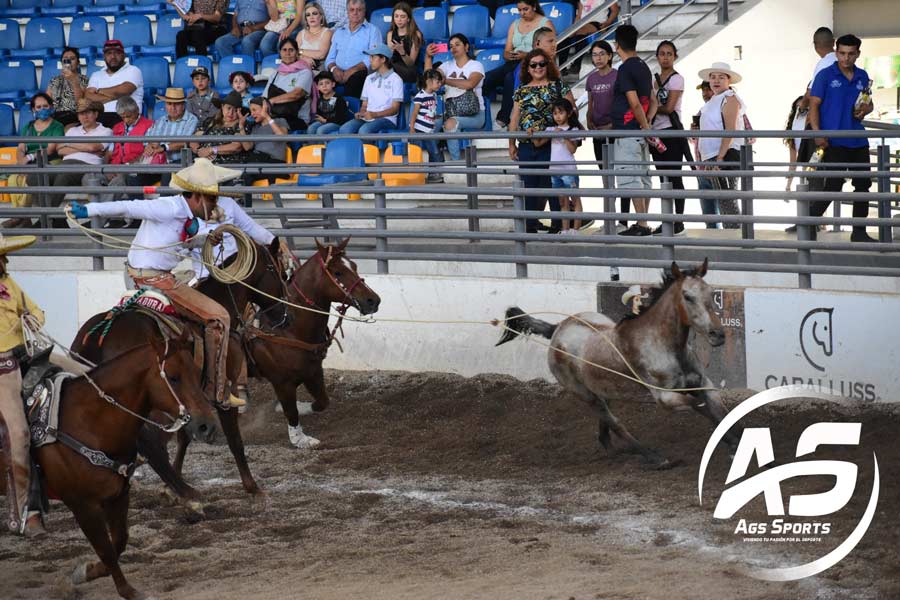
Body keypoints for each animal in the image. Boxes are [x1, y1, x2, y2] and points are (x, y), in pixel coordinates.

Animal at [3, 332, 218, 600]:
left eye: (196, 372)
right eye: (174, 377)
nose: (207, 426)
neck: (87, 423)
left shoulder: (118, 495)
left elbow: (119, 541)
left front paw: (88, 571)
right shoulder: (82, 505)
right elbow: (105, 548)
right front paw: (129, 591)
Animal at [71, 238, 288, 496]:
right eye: (277, 271)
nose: (284, 315)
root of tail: (100, 336)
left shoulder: (188, 398)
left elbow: (186, 435)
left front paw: (169, 483)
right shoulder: (223, 394)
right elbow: (234, 439)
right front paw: (252, 486)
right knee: (150, 443)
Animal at [500, 258, 740, 468]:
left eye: (711, 293)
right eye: (687, 296)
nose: (717, 334)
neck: (663, 345)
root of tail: (557, 329)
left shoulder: (704, 383)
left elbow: (720, 411)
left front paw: (736, 443)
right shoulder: (665, 398)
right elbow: (699, 406)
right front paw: (734, 445)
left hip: (602, 389)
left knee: (605, 423)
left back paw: (615, 450)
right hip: (583, 393)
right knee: (614, 422)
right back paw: (653, 457)